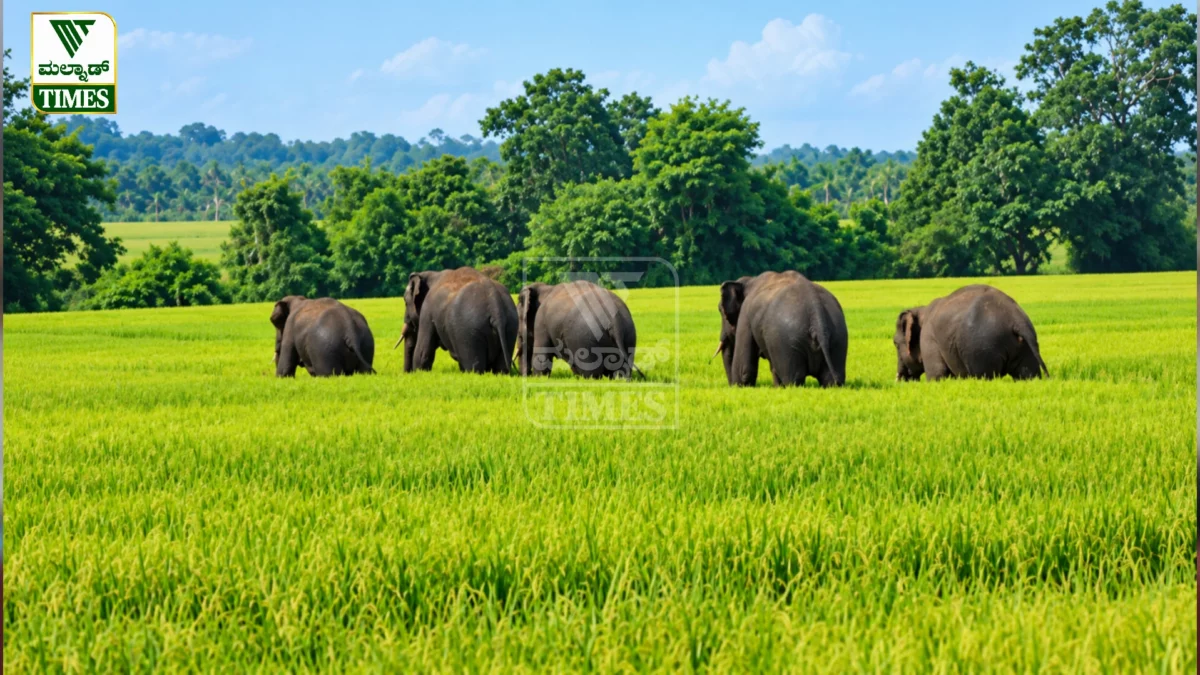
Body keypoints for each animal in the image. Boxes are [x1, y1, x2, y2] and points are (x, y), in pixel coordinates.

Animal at [715, 271, 847, 387]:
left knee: (793, 378)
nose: (730, 385)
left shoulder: (745, 316)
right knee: (829, 379)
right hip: (838, 337)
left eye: (720, 310)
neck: (750, 280)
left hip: (787, 342)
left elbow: (744, 368)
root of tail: (816, 311)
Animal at [894, 284, 1048, 381]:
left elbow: (936, 375)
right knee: (1028, 375)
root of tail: (1017, 319)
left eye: (895, 343)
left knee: (985, 375)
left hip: (982, 348)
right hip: (1024, 347)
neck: (922, 310)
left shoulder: (928, 340)